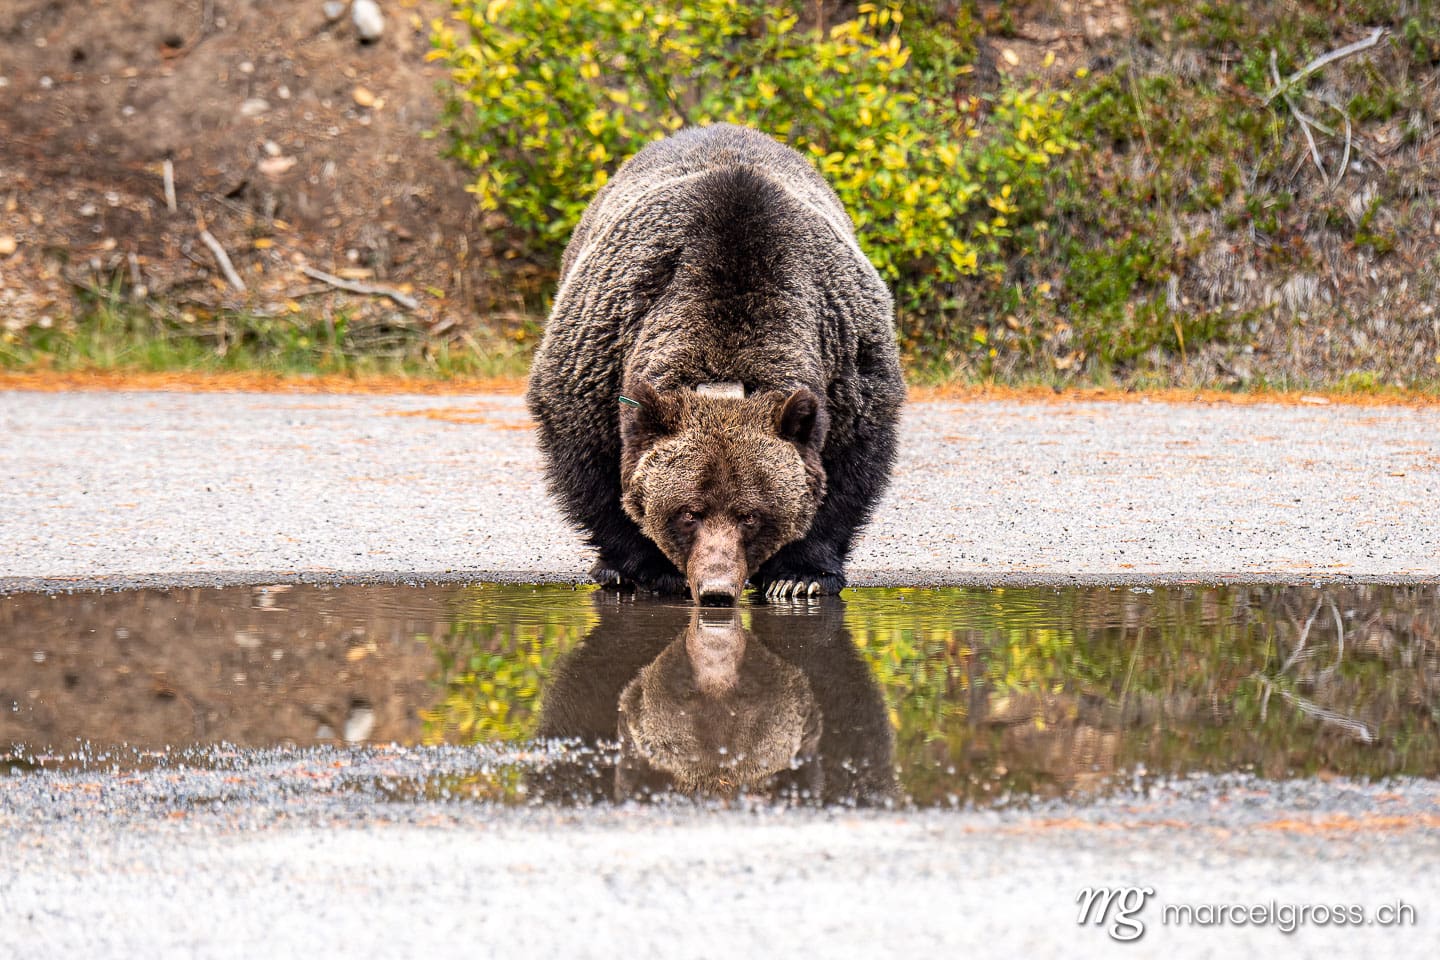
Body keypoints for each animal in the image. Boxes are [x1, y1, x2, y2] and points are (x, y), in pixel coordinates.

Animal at [526, 123, 905, 603]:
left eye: (751, 515)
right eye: (689, 512)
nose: (717, 590)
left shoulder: (845, 367)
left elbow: (844, 476)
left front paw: (800, 576)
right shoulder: (601, 361)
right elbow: (596, 472)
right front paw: (640, 568)